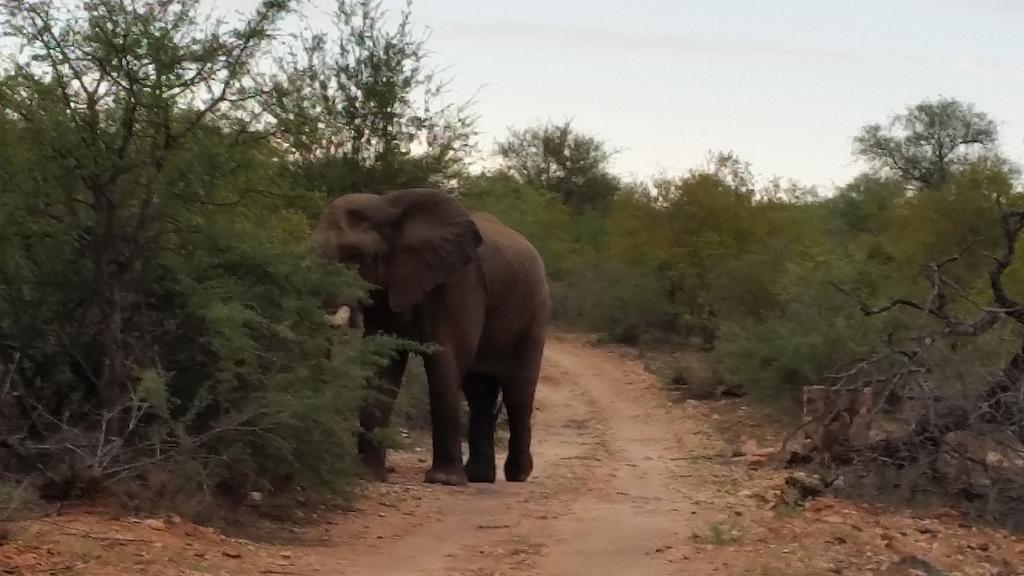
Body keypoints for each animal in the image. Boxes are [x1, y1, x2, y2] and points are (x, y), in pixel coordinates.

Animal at [313, 188, 548, 483]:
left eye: (354, 254)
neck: (388, 205)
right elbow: (384, 367)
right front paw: (367, 475)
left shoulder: (460, 281)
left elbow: (444, 360)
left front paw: (443, 480)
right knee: (479, 393)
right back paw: (479, 477)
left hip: (535, 312)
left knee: (518, 392)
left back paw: (517, 474)